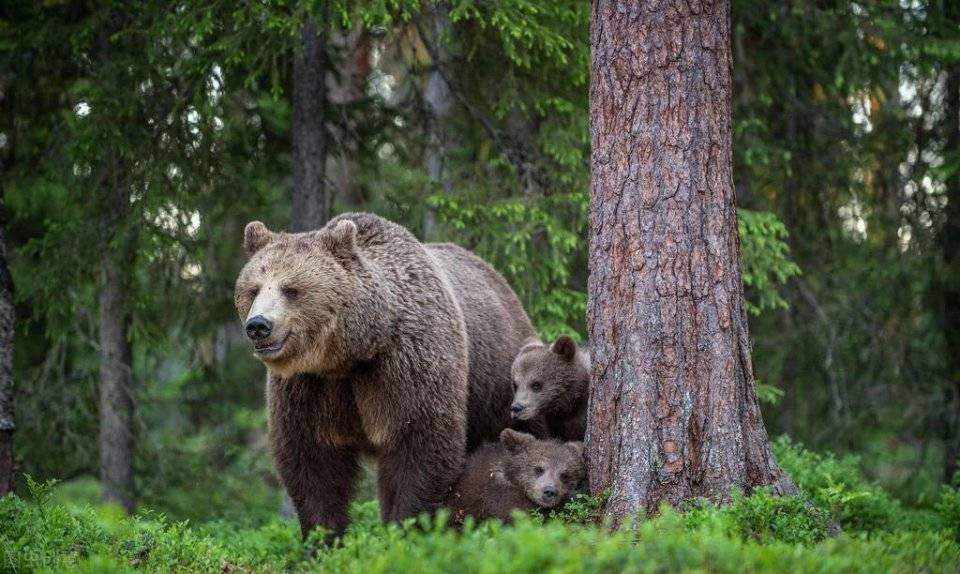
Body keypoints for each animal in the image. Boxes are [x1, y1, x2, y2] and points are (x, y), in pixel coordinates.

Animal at [232, 213, 532, 540]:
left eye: (291, 289)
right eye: (253, 288)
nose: (258, 325)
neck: (351, 354)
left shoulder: (405, 365)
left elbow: (419, 445)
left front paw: (404, 527)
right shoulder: (310, 386)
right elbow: (312, 460)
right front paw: (323, 537)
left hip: (497, 378)